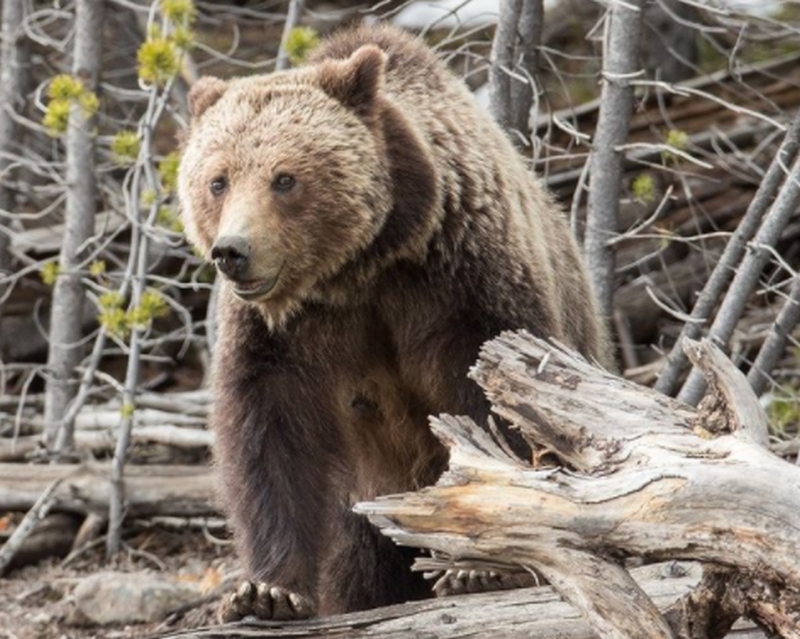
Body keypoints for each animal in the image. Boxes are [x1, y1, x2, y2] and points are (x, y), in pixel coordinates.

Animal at [178, 23, 608, 620]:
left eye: (284, 178)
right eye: (218, 180)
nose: (232, 252)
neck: (361, 267)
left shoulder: (461, 281)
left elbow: (499, 406)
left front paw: (479, 568)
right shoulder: (282, 332)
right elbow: (270, 436)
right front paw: (268, 591)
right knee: (359, 563)